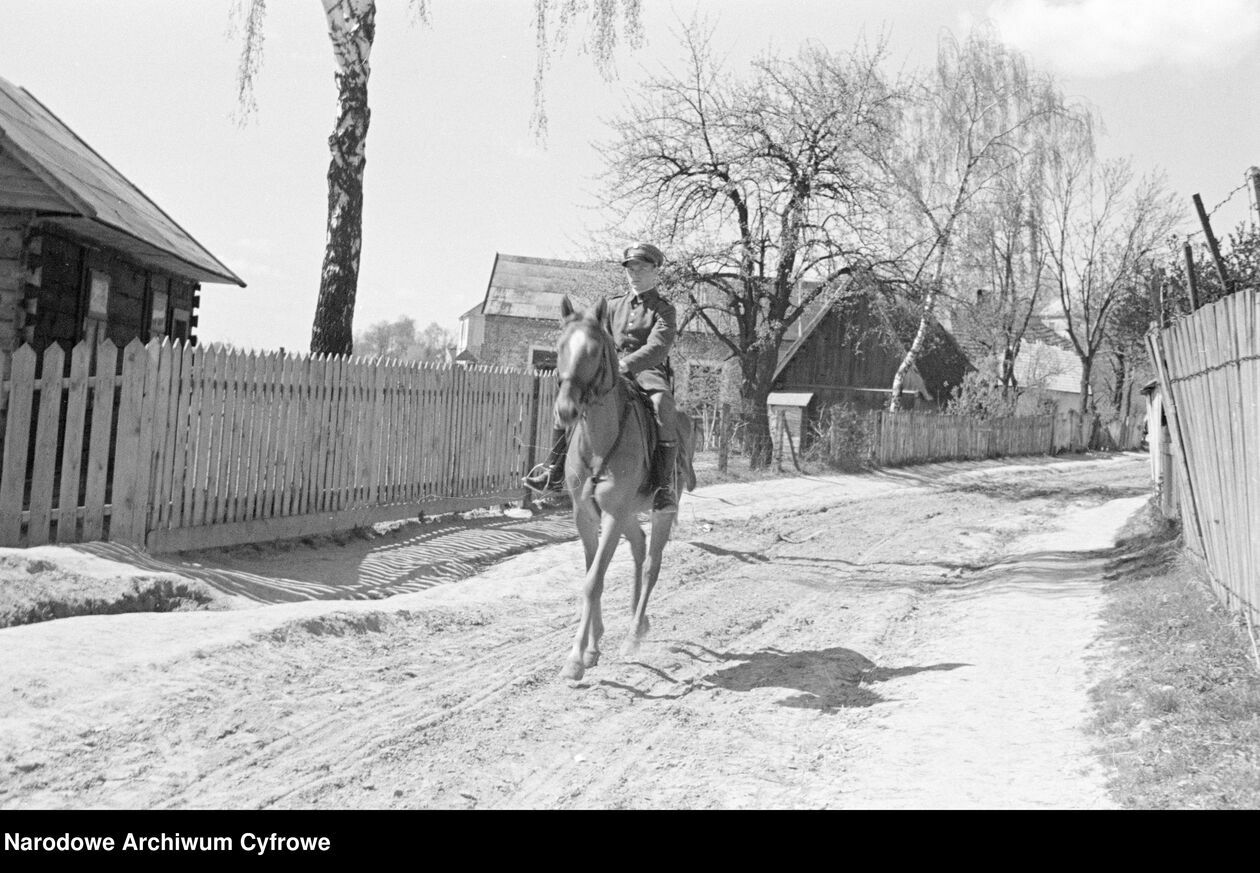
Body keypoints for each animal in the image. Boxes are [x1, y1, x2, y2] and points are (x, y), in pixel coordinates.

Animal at [554, 292, 695, 680]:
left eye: (594, 351)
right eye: (559, 347)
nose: (566, 411)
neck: (598, 442)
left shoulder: (612, 515)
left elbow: (593, 581)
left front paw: (576, 658)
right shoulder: (586, 516)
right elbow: (593, 574)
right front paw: (592, 647)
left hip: (660, 511)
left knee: (651, 563)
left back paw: (633, 634)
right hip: (630, 513)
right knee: (639, 546)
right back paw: (638, 621)